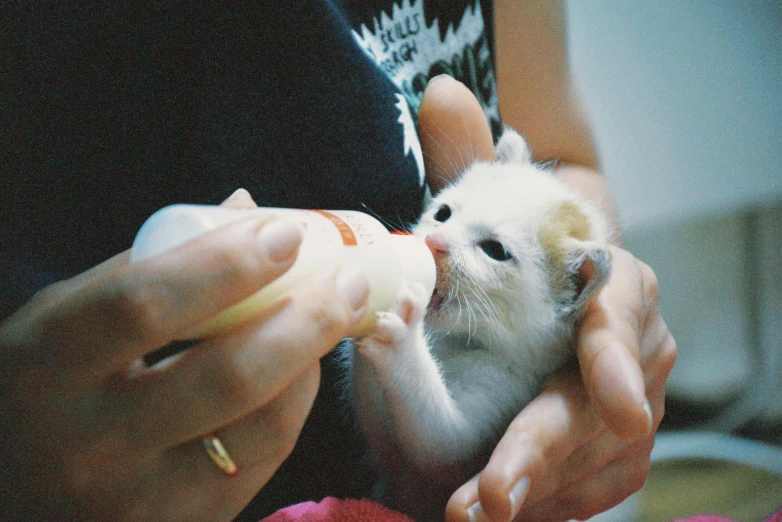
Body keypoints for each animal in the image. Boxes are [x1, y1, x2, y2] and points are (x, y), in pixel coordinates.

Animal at [348, 128, 612, 516]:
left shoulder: (504, 395)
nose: (434, 242)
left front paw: (400, 340)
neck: (456, 339)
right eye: (442, 213)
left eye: (495, 250)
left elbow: (436, 443)